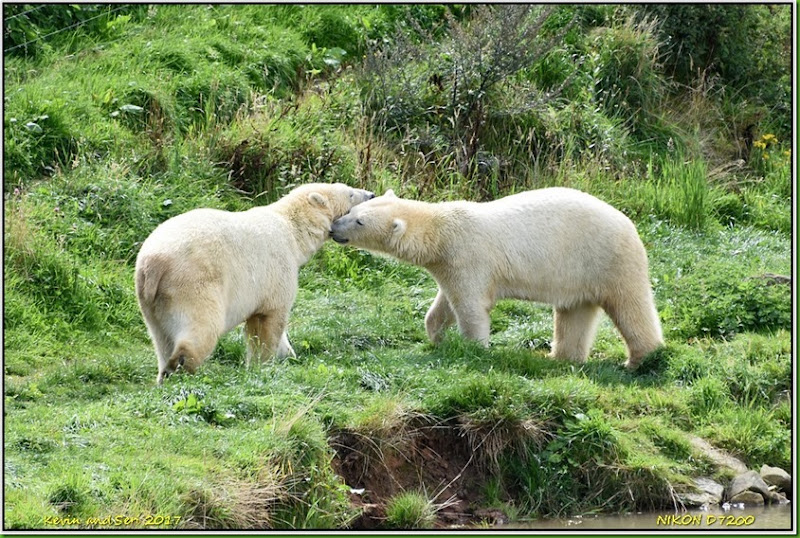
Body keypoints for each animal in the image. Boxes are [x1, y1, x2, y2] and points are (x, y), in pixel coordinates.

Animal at [136, 182, 374, 384]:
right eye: (350, 193)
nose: (371, 194)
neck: (292, 230)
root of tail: (153, 262)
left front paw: (288, 354)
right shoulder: (277, 269)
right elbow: (269, 322)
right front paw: (263, 364)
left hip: (152, 299)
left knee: (161, 336)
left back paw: (164, 371)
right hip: (193, 283)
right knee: (201, 325)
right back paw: (181, 365)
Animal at [330, 188, 664, 368]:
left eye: (359, 221)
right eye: (353, 209)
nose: (333, 228)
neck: (442, 230)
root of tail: (629, 224)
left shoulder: (468, 256)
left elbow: (470, 307)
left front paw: (475, 349)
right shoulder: (450, 264)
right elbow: (445, 304)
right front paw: (437, 338)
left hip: (607, 260)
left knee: (630, 306)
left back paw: (640, 359)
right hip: (578, 275)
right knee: (574, 314)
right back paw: (561, 358)